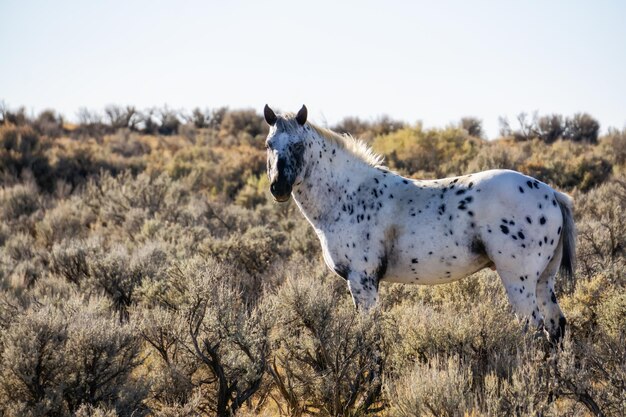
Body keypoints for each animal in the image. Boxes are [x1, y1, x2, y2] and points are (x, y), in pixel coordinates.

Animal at [262, 104, 576, 342]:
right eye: (269, 145)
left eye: (299, 145)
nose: (278, 188)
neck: (348, 194)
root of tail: (551, 193)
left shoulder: (362, 280)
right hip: (544, 279)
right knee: (555, 326)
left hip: (518, 280)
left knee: (533, 327)